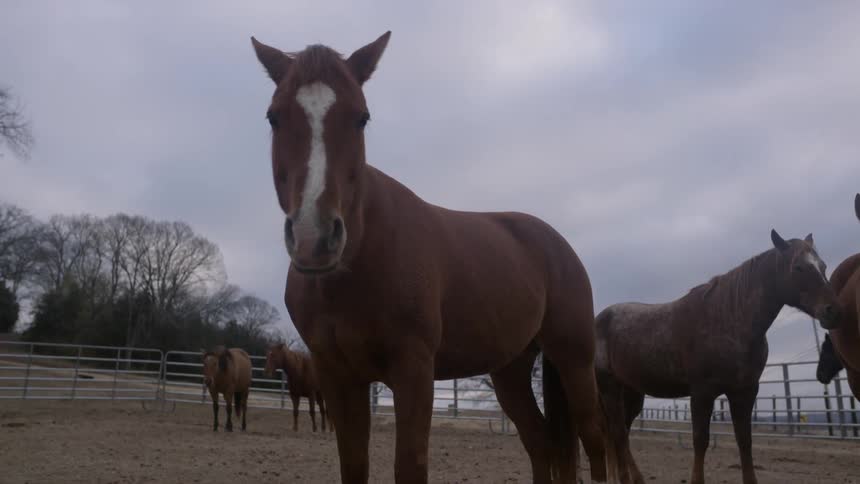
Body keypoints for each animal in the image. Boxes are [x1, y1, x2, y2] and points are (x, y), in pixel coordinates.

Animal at [250, 32, 614, 483]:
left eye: (361, 118)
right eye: (274, 117)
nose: (313, 237)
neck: (359, 264)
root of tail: (557, 244)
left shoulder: (415, 371)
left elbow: (410, 466)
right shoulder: (337, 375)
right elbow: (354, 466)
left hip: (574, 362)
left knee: (594, 441)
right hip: (510, 371)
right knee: (541, 443)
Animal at [595, 229, 842, 484]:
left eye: (823, 266)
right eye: (798, 267)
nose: (834, 311)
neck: (728, 320)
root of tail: (599, 319)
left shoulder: (744, 391)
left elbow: (744, 439)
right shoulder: (702, 393)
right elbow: (700, 439)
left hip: (632, 393)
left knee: (621, 432)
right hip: (609, 388)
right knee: (617, 432)